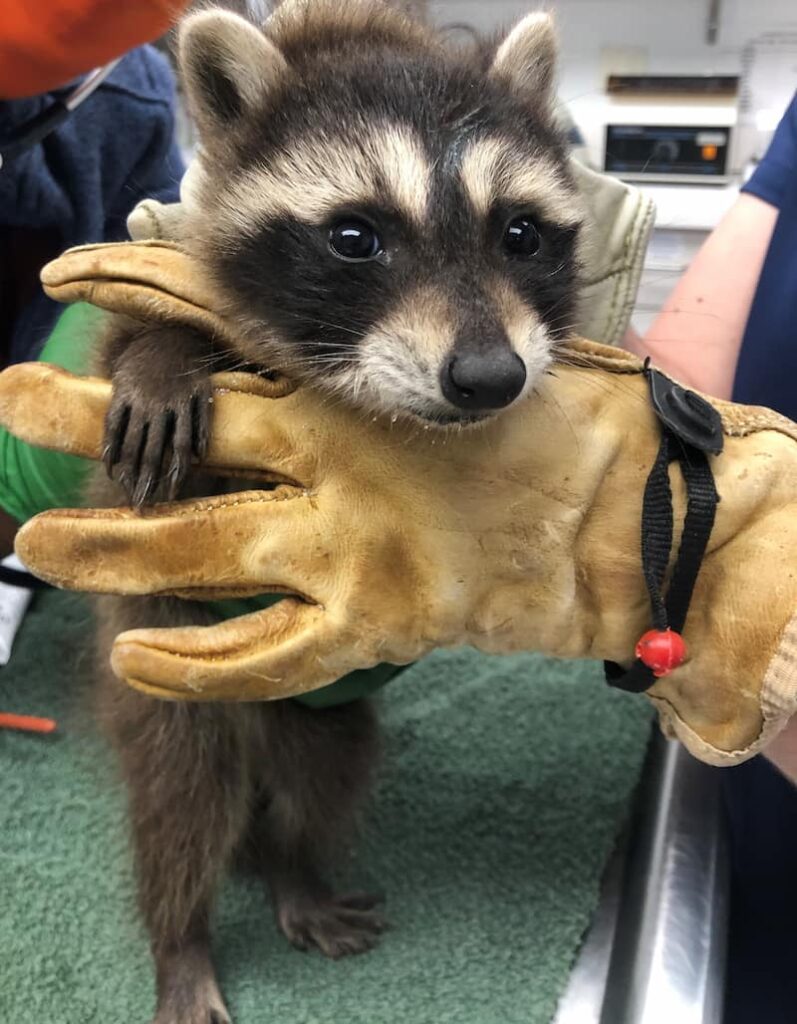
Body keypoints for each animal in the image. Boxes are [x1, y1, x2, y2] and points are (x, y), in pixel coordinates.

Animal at [93, 3, 583, 1022]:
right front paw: (162, 355)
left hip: (312, 702)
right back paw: (181, 937)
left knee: (319, 775)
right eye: (355, 237)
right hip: (165, 679)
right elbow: (133, 327)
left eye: (519, 235)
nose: (490, 377)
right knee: (181, 800)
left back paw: (293, 869)